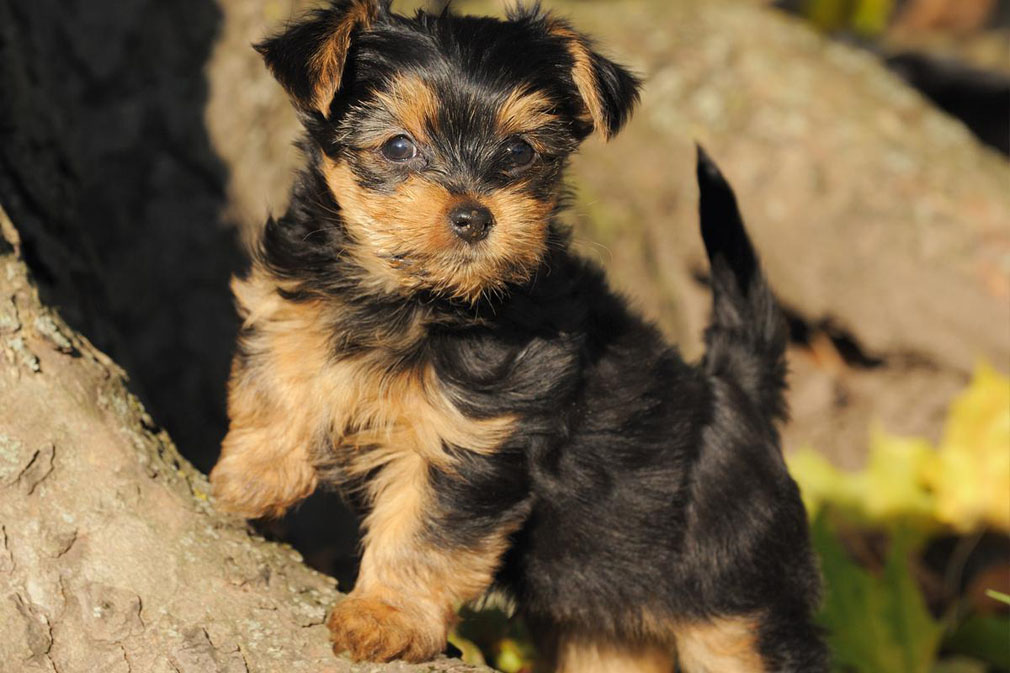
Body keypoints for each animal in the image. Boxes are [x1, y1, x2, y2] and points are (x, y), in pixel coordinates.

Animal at [211, 2, 828, 666]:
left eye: (518, 150)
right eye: (398, 146)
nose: (475, 216)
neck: (410, 300)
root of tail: (738, 395)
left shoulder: (469, 441)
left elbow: (423, 534)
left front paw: (386, 617)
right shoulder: (298, 297)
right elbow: (281, 366)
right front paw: (254, 476)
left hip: (740, 604)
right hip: (606, 623)